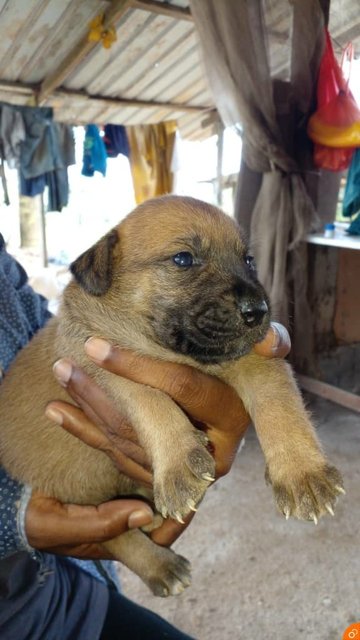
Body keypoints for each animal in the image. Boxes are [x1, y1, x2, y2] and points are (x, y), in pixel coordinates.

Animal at [0, 195, 344, 596]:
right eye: (183, 259)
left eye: (248, 259)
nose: (258, 312)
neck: (178, 352)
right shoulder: (101, 362)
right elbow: (149, 400)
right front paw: (179, 464)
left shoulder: (256, 357)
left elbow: (279, 402)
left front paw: (302, 473)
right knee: (114, 535)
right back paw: (160, 565)